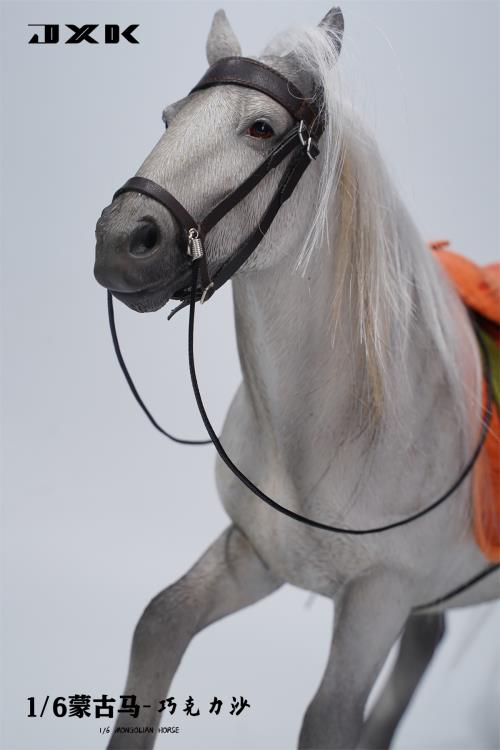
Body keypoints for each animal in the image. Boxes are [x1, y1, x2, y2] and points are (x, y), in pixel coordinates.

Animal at [94, 7, 500, 749]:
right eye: (168, 118)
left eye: (261, 128)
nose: (121, 242)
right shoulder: (254, 555)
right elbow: (160, 621)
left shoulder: (380, 596)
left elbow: (329, 718)